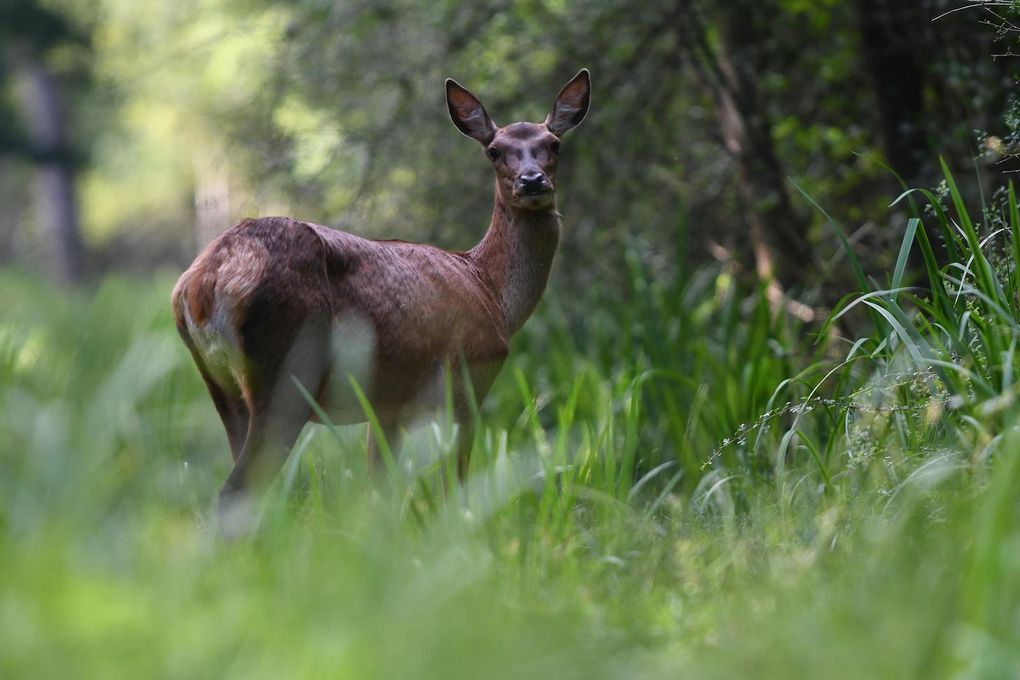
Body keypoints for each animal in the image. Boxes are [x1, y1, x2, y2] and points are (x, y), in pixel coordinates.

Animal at [172, 69, 595, 517]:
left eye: (554, 143)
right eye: (494, 151)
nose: (532, 180)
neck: (490, 288)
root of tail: (201, 285)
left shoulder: (388, 406)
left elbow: (379, 492)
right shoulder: (471, 374)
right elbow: (454, 486)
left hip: (222, 385)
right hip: (286, 367)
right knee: (235, 493)